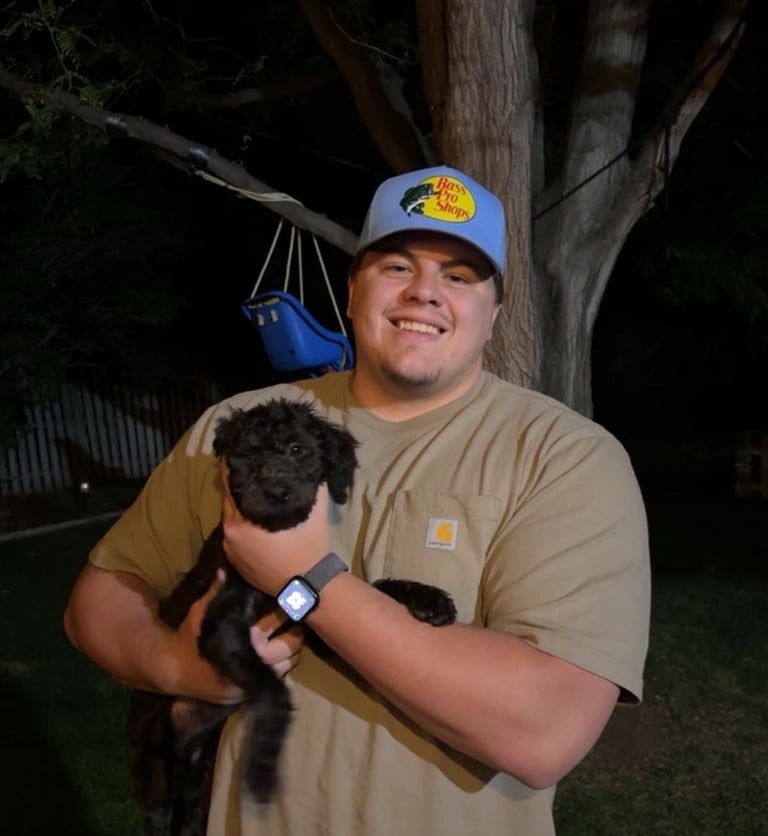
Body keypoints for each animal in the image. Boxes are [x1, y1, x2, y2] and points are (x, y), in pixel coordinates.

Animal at [128, 397, 457, 836]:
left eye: (298, 449)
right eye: (249, 456)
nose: (277, 492)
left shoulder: (318, 617)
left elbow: (376, 587)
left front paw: (428, 598)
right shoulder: (221, 627)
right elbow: (274, 691)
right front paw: (264, 764)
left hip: (200, 774)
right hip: (155, 762)